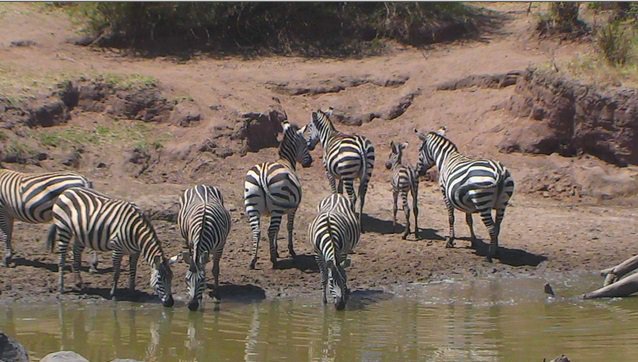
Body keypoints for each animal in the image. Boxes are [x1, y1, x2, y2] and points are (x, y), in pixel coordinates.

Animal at [48, 187, 176, 308]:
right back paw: (61, 288)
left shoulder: (135, 252)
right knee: (62, 259)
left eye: (171, 278)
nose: (170, 303)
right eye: (160, 279)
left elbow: (133, 271)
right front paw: (113, 294)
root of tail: (68, 190)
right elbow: (116, 273)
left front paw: (132, 292)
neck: (136, 232)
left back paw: (78, 283)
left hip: (80, 234)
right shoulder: (117, 249)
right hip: (63, 229)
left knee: (76, 253)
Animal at [245, 120, 312, 270]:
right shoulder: (292, 209)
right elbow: (288, 227)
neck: (285, 160)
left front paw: (275, 250)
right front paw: (291, 251)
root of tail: (263, 172)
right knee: (270, 230)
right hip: (276, 204)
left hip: (253, 205)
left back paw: (253, 260)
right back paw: (273, 261)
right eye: (305, 144)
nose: (310, 162)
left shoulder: (278, 210)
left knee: (257, 231)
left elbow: (278, 229)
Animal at [412, 126, 516, 260]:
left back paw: (489, 255)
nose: (418, 171)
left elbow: (451, 218)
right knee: (498, 227)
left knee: (492, 228)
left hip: (482, 203)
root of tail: (498, 170)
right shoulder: (466, 202)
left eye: (419, 150)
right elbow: (469, 220)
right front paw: (473, 241)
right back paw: (496, 250)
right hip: (502, 204)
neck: (446, 158)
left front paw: (450, 241)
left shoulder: (445, 193)